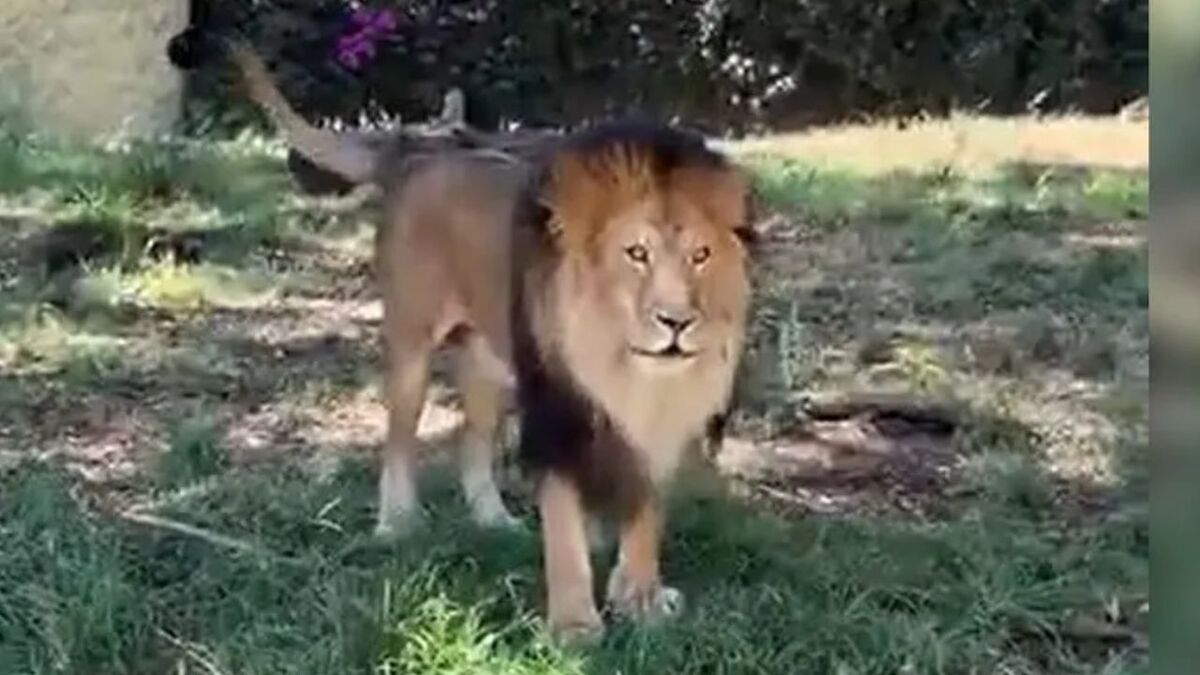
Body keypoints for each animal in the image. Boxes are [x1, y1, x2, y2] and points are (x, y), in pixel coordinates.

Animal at [511, 122, 756, 642]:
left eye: (700, 256)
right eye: (637, 254)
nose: (677, 322)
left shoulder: (659, 428)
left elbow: (645, 511)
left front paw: (640, 600)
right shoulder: (555, 419)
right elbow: (562, 525)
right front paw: (574, 627)